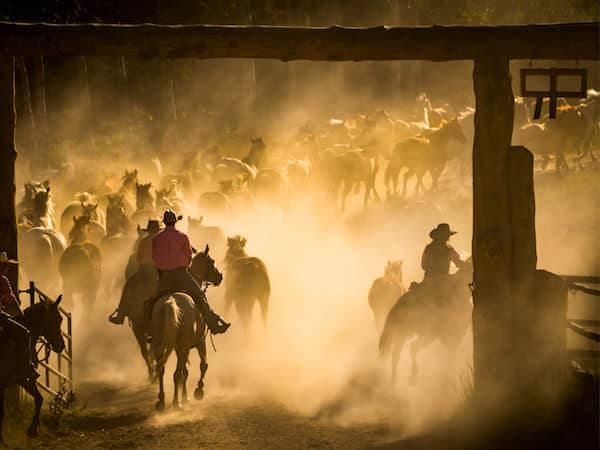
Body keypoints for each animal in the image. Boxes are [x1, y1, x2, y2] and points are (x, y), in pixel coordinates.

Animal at [0, 294, 65, 442]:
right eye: (59, 319)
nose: (62, 345)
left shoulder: (21, 380)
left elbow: (39, 398)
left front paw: (33, 429)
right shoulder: (23, 379)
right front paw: (33, 429)